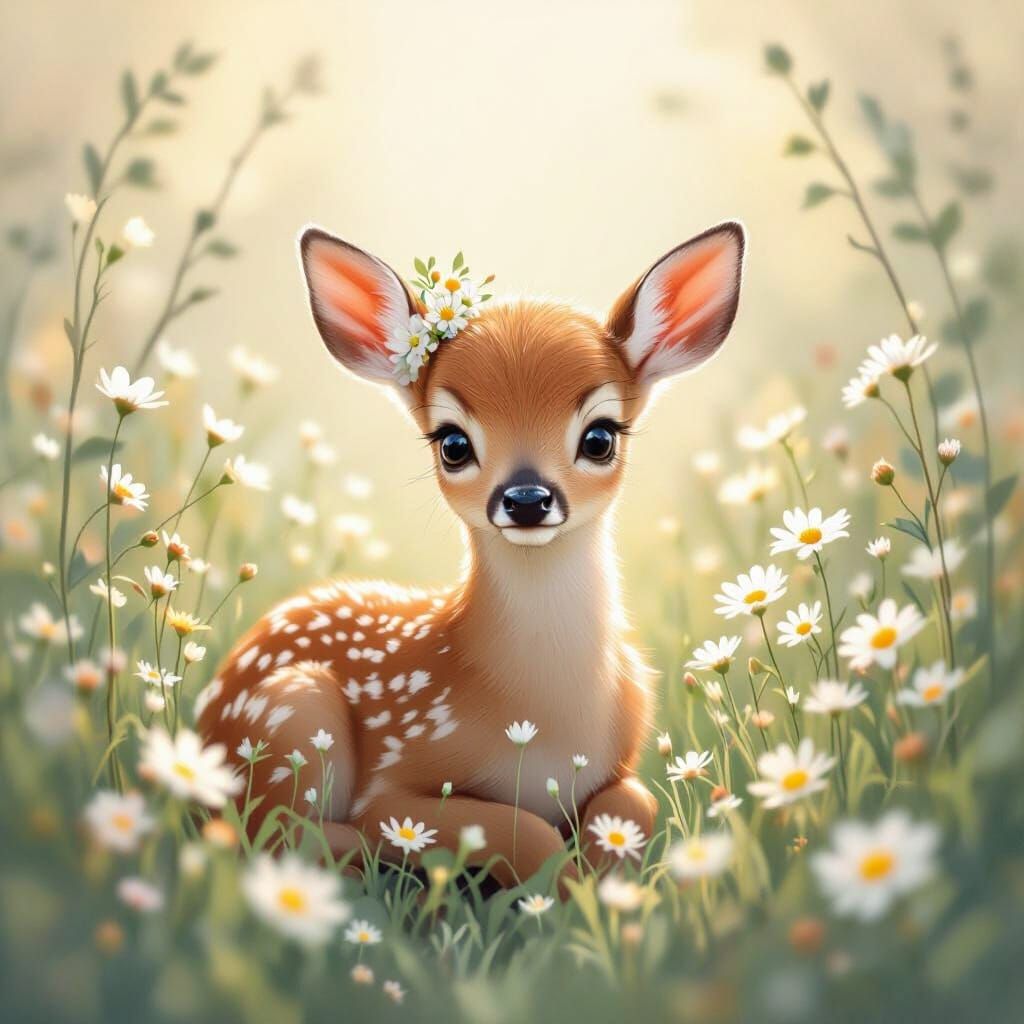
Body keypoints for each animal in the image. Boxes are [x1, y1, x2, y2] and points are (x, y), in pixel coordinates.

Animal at [196, 221, 745, 887]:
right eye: (453, 443)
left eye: (600, 437)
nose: (528, 499)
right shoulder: (394, 781)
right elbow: (520, 832)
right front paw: (564, 892)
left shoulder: (622, 763)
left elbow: (633, 804)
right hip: (292, 712)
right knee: (274, 834)